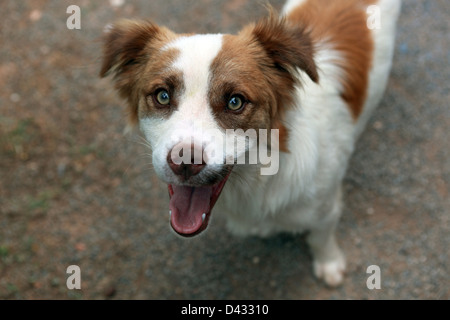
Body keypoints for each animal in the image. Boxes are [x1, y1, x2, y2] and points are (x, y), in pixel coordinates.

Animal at [101, 0, 400, 284]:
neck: (259, 176)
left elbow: (320, 237)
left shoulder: (326, 207)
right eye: (162, 96)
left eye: (235, 102)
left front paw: (329, 264)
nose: (184, 163)